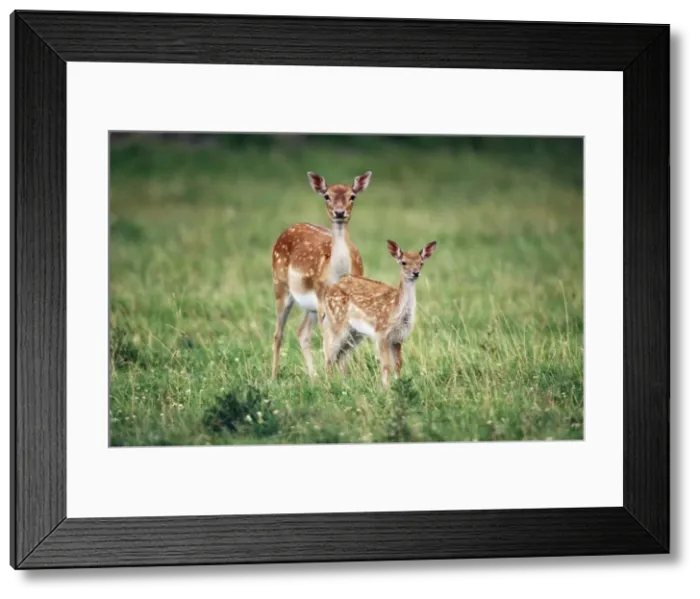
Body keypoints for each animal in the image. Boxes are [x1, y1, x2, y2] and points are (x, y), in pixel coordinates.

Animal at [270, 170, 373, 380]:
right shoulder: (321, 296)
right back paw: (273, 377)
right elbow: (328, 340)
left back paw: (313, 377)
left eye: (352, 196)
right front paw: (331, 378)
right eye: (327, 196)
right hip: (281, 286)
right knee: (278, 334)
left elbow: (345, 340)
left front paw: (343, 378)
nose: (339, 212)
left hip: (309, 306)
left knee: (302, 333)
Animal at [316, 238, 438, 389]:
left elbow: (398, 364)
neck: (395, 309)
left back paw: (346, 385)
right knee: (328, 355)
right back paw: (329, 386)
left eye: (421, 263)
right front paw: (386, 390)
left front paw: (399, 386)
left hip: (355, 333)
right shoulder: (381, 334)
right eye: (403, 262)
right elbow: (386, 365)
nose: (415, 273)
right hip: (336, 322)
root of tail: (329, 289)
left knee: (341, 356)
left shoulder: (398, 337)